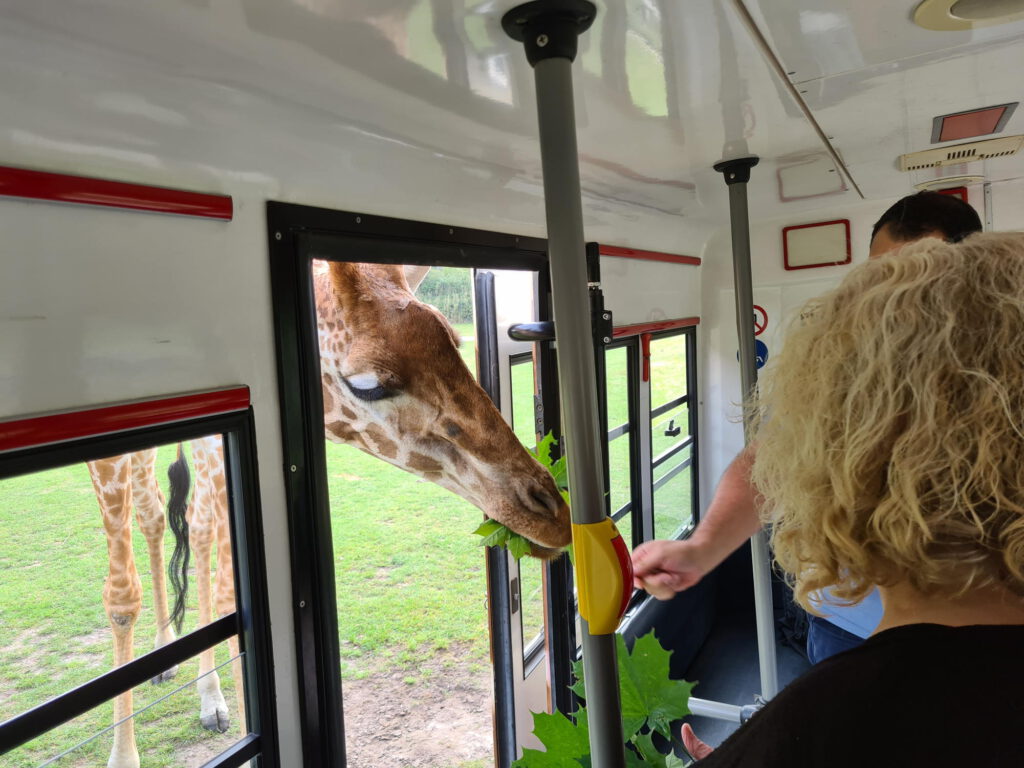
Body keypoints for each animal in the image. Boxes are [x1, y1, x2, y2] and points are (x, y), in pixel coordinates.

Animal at [90, 260, 572, 768]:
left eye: (454, 343)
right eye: (369, 385)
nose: (551, 514)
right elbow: (121, 599)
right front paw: (123, 756)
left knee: (185, 526)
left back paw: (203, 692)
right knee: (154, 518)